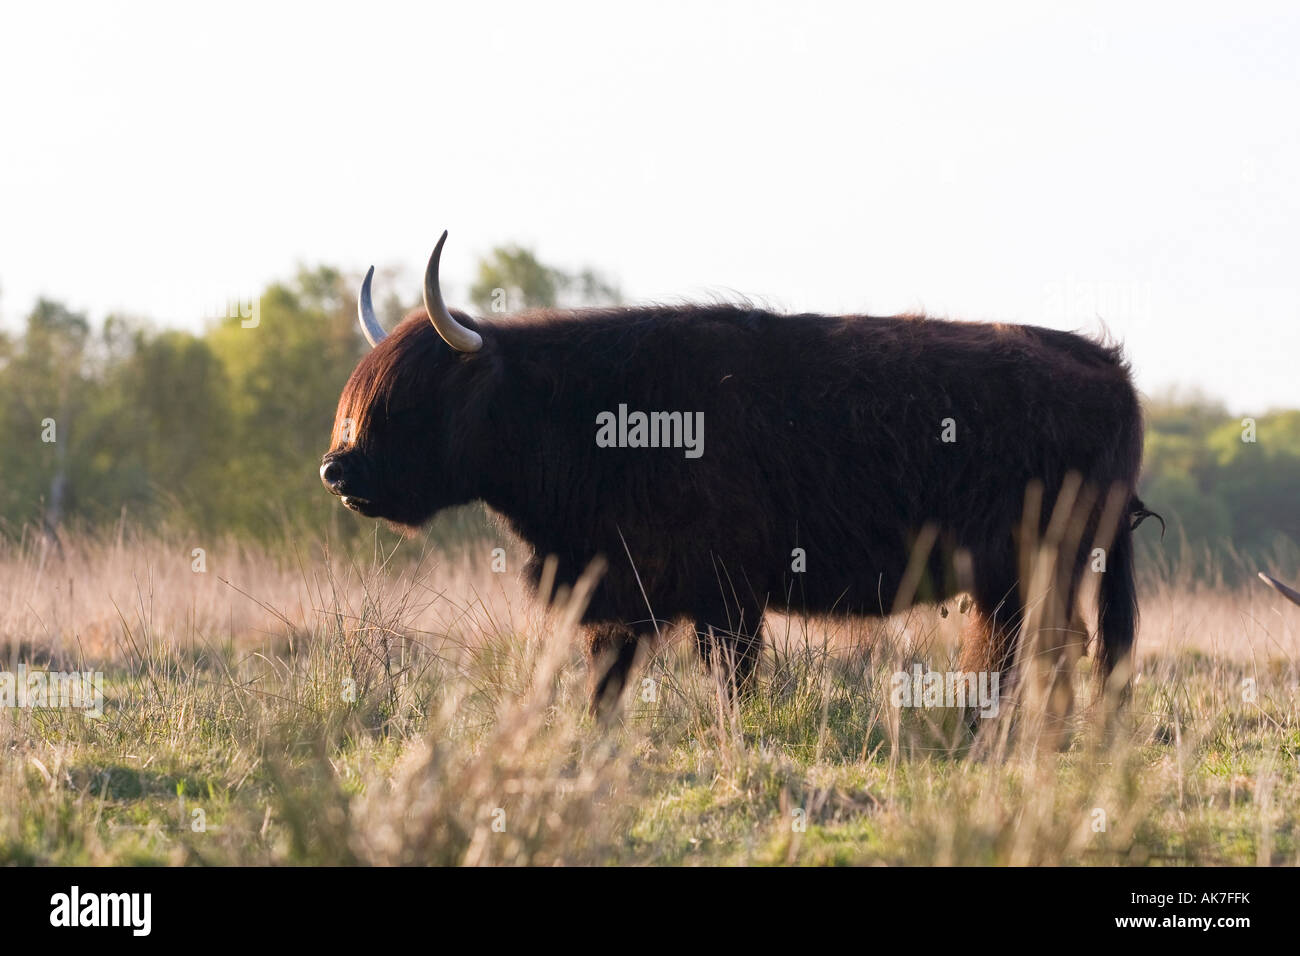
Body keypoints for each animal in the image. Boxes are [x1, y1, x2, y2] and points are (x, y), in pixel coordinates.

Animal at [322, 234, 1159, 717]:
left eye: (411, 396)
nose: (337, 469)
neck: (581, 409)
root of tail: (1104, 365)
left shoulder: (727, 593)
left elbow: (733, 677)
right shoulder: (617, 592)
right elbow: (607, 683)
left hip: (1041, 567)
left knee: (1049, 651)